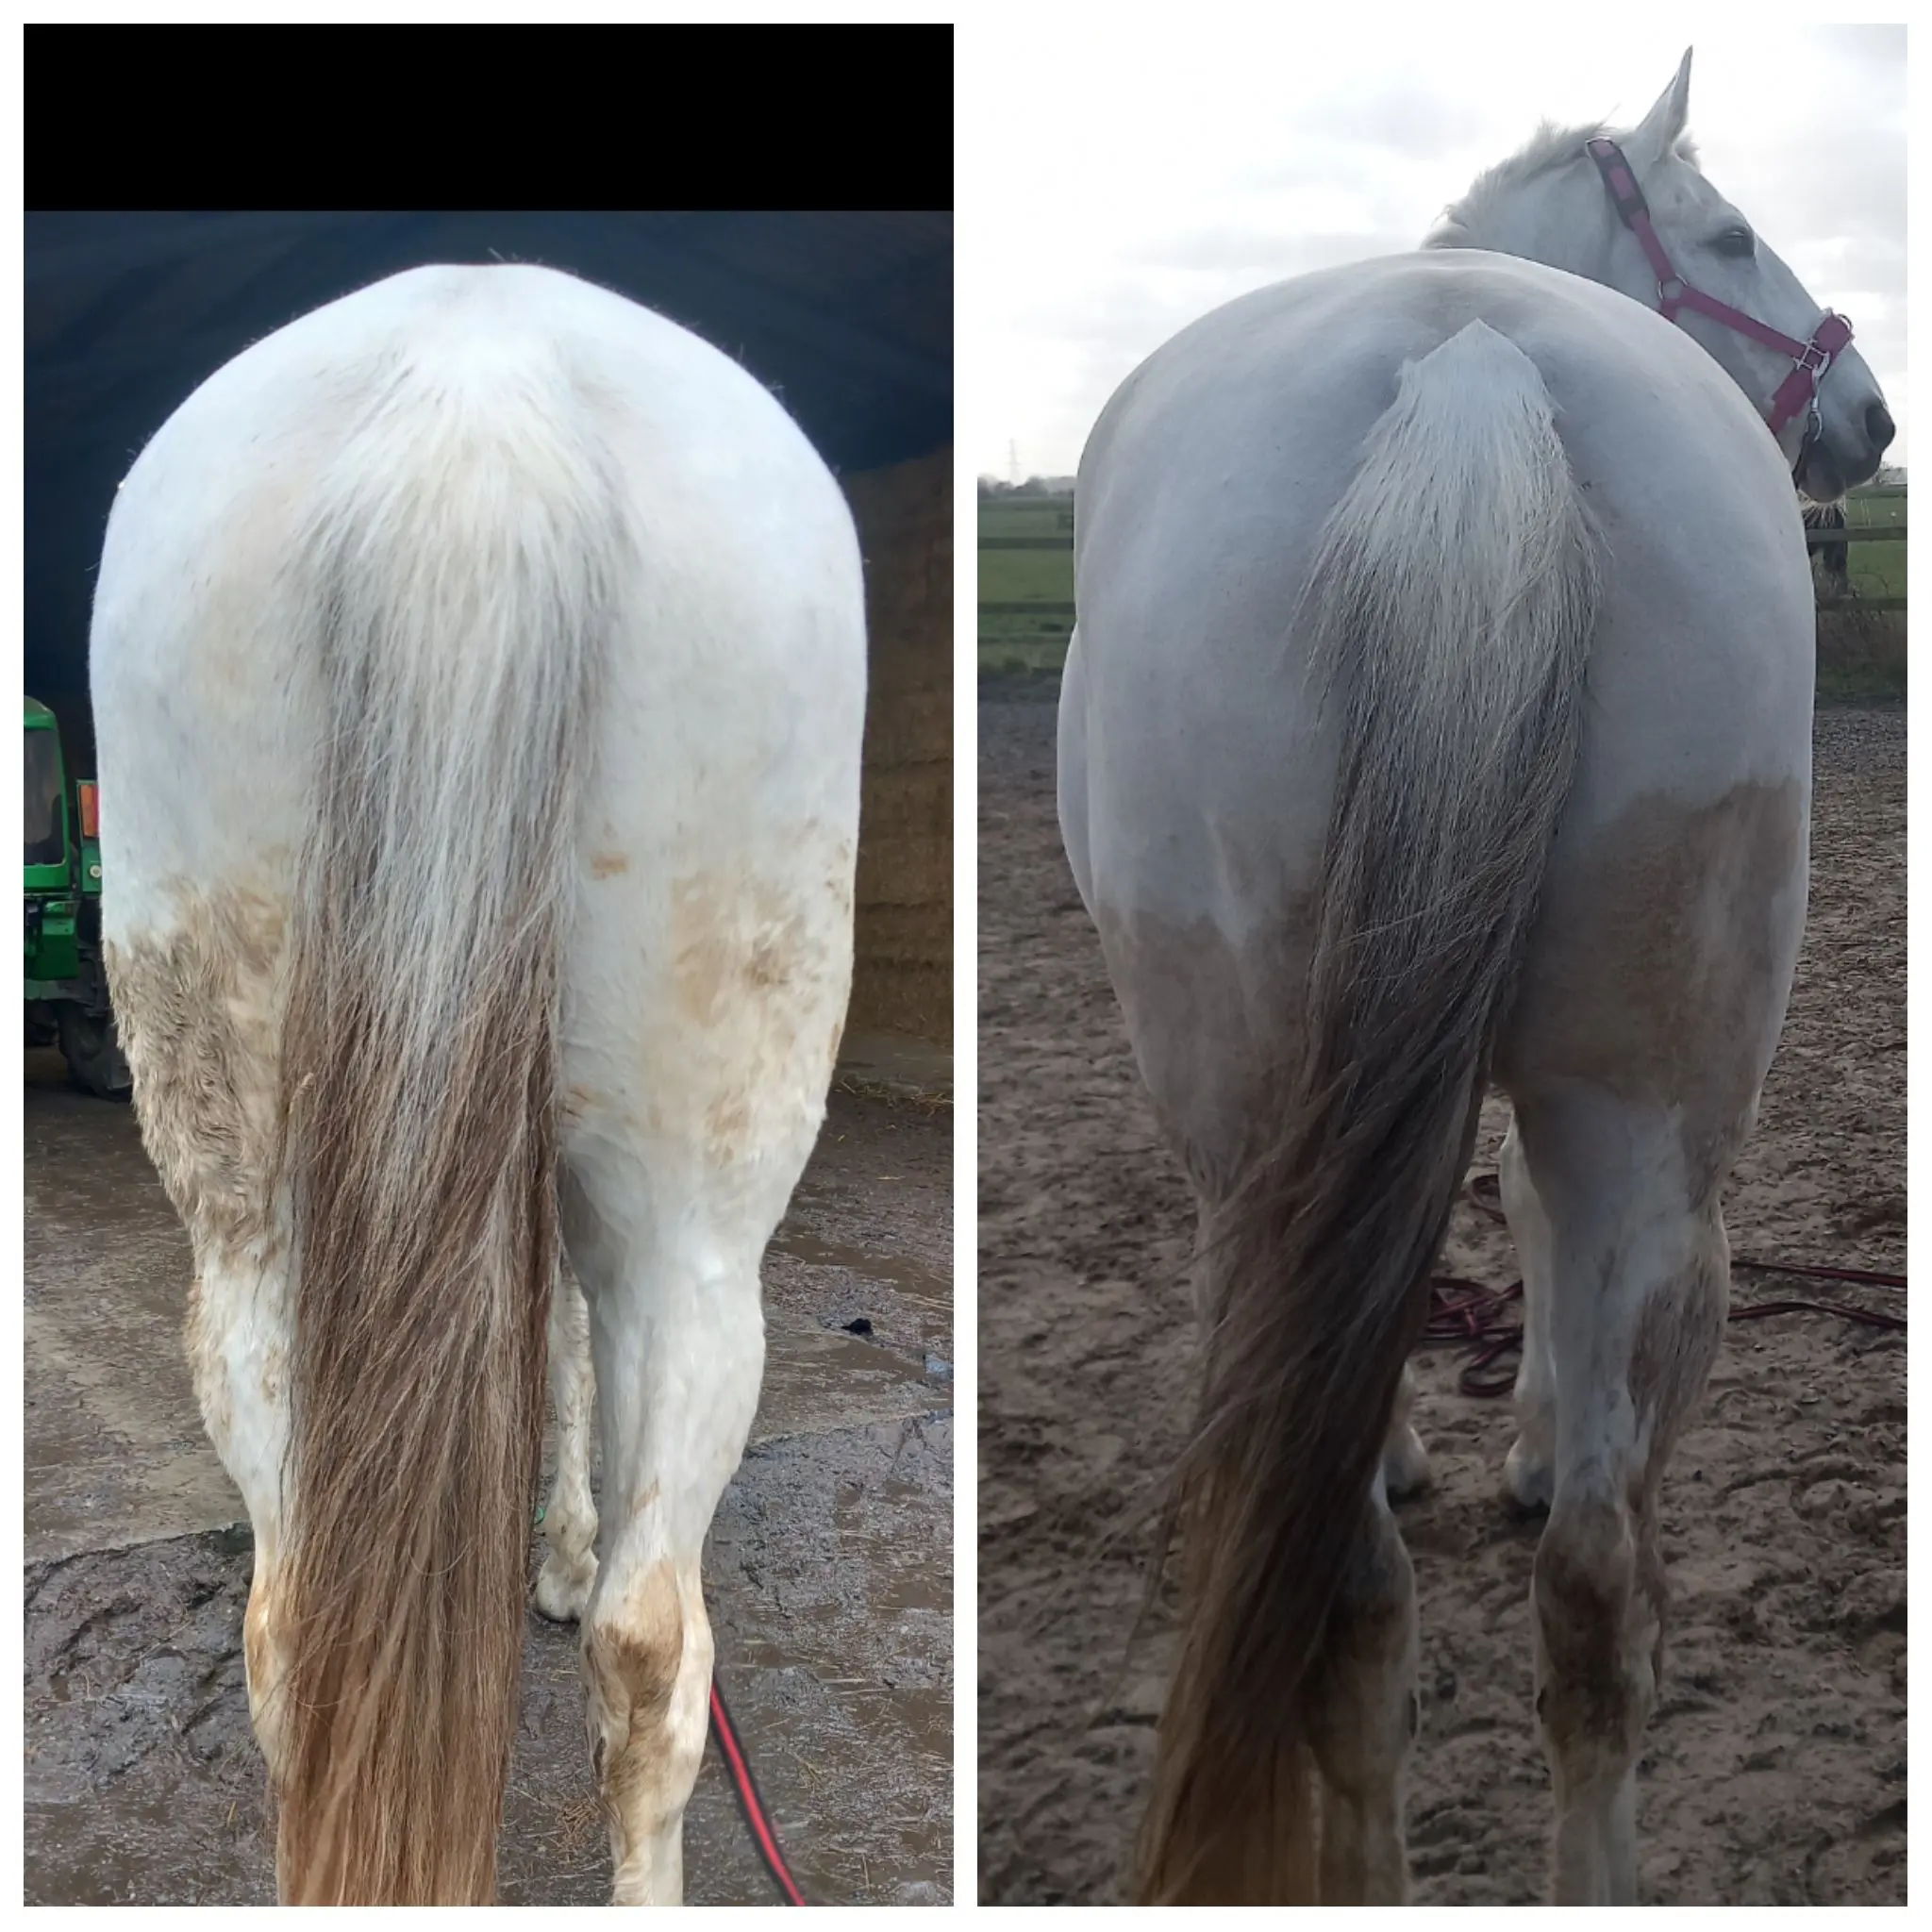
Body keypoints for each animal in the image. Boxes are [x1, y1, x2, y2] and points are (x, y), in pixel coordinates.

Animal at [89, 261, 865, 1904]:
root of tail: (480, 371)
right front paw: (560, 1555)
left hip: (257, 1229)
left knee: (293, 1631)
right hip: (698, 1241)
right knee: (653, 1649)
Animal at [1056, 50, 1891, 1905]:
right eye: (1731, 230)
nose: (1868, 420)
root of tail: (1471, 373)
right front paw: (1507, 1438)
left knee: (1394, 1595)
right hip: (1637, 1131)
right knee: (1575, 1590)